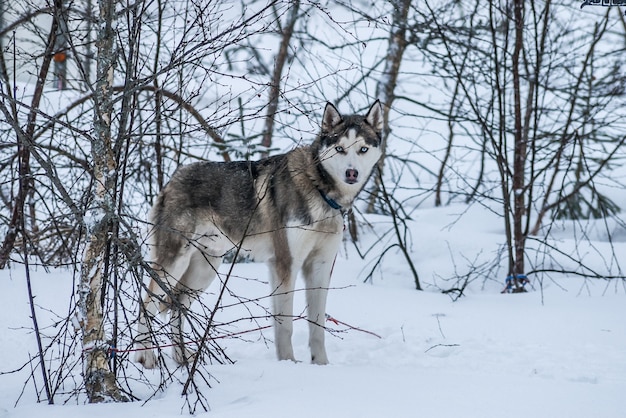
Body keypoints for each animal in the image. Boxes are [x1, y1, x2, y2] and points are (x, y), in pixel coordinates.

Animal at [134, 99, 382, 368]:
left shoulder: (320, 266)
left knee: (177, 307)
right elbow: (285, 325)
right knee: (146, 303)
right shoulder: (285, 265)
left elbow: (317, 327)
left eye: (363, 149)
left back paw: (182, 357)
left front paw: (321, 366)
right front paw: (288, 364)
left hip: (204, 270)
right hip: (175, 264)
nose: (351, 173)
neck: (319, 188)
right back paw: (144, 356)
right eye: (339, 148)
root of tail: (171, 180)